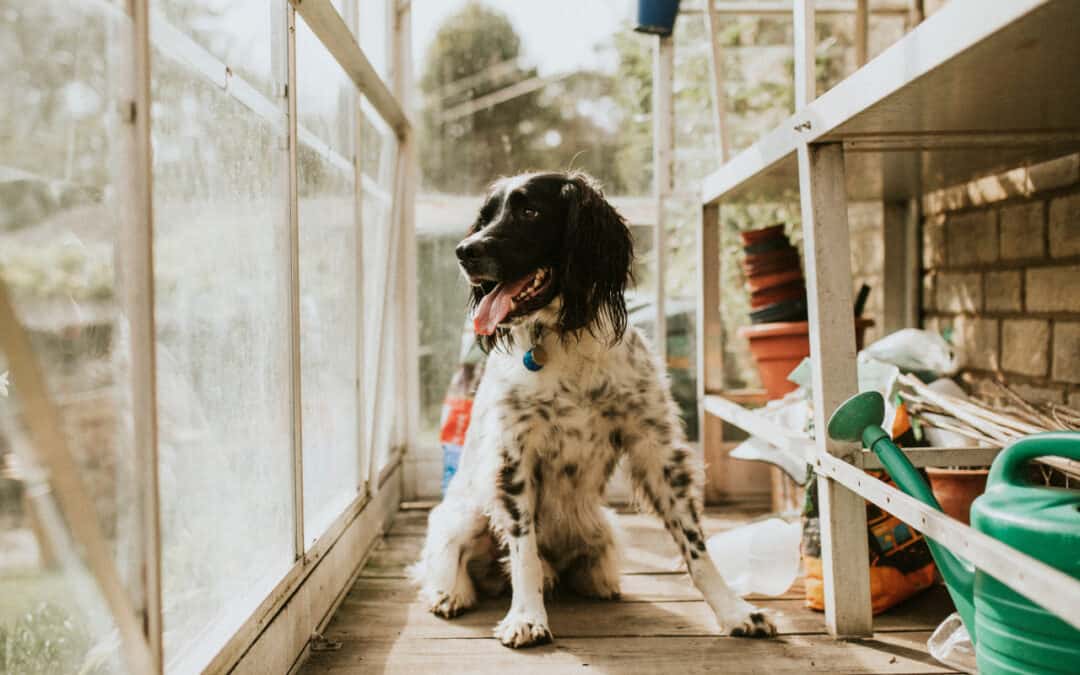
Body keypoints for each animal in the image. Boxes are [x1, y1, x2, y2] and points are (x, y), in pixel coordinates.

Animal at [406, 170, 777, 643]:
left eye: (530, 211)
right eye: (485, 217)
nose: (464, 250)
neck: (564, 339)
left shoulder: (656, 449)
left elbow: (695, 544)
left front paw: (734, 610)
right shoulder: (513, 458)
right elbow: (523, 550)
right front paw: (526, 616)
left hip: (603, 527)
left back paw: (596, 584)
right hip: (467, 512)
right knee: (457, 559)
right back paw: (450, 594)